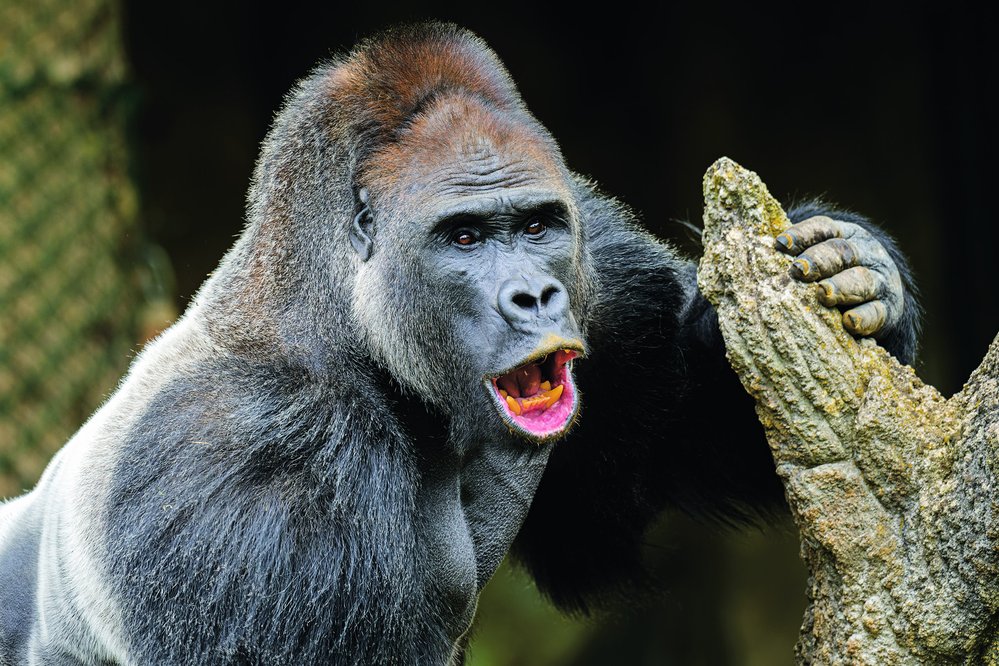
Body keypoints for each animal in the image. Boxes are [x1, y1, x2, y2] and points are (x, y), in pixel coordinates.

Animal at [0, 22, 920, 664]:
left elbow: (684, 438)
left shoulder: (600, 271)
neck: (335, 325)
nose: (534, 296)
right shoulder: (253, 463)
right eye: (464, 237)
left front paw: (858, 265)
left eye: (536, 227)